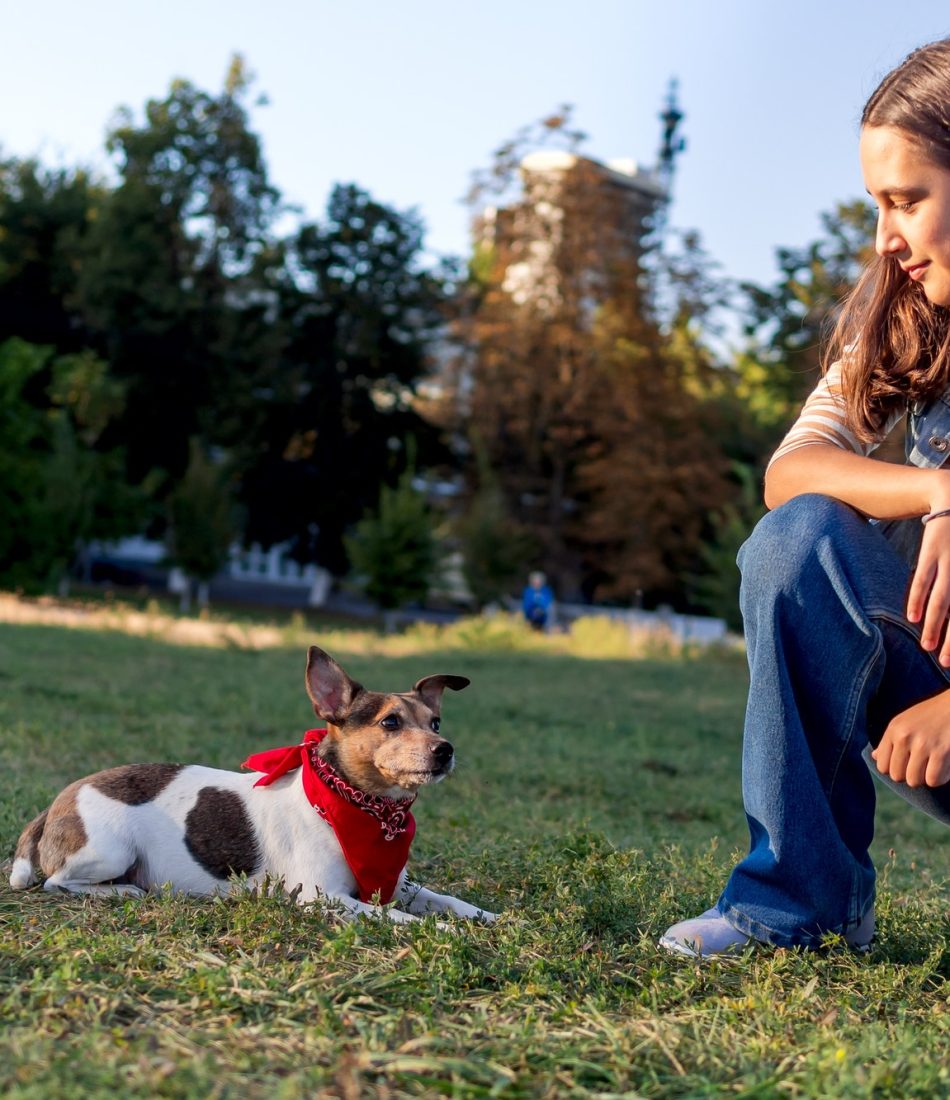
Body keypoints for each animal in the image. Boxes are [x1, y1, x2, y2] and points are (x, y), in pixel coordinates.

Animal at [9, 642, 496, 928]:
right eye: (390, 722)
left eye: (435, 722)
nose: (445, 749)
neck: (358, 806)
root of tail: (60, 799)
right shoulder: (323, 898)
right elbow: (400, 918)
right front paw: (443, 930)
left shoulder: (400, 885)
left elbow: (446, 899)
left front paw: (486, 916)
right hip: (110, 851)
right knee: (57, 882)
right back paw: (122, 889)